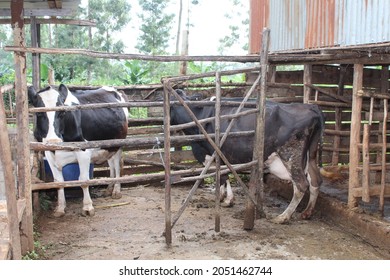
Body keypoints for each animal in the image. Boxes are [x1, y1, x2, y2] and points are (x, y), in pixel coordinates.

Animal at [29, 84, 129, 218]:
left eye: (62, 112)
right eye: (39, 113)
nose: (53, 141)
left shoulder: (83, 151)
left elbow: (83, 179)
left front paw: (87, 207)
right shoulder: (48, 152)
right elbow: (58, 182)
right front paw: (60, 208)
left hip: (118, 143)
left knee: (118, 165)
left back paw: (116, 191)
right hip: (107, 146)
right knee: (111, 164)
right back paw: (109, 189)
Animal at [169, 91, 324, 224]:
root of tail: (311, 107)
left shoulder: (211, 153)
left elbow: (222, 176)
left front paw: (225, 199)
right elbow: (224, 175)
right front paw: (225, 197)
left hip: (290, 155)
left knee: (301, 184)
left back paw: (283, 216)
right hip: (311, 154)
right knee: (315, 180)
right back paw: (307, 212)